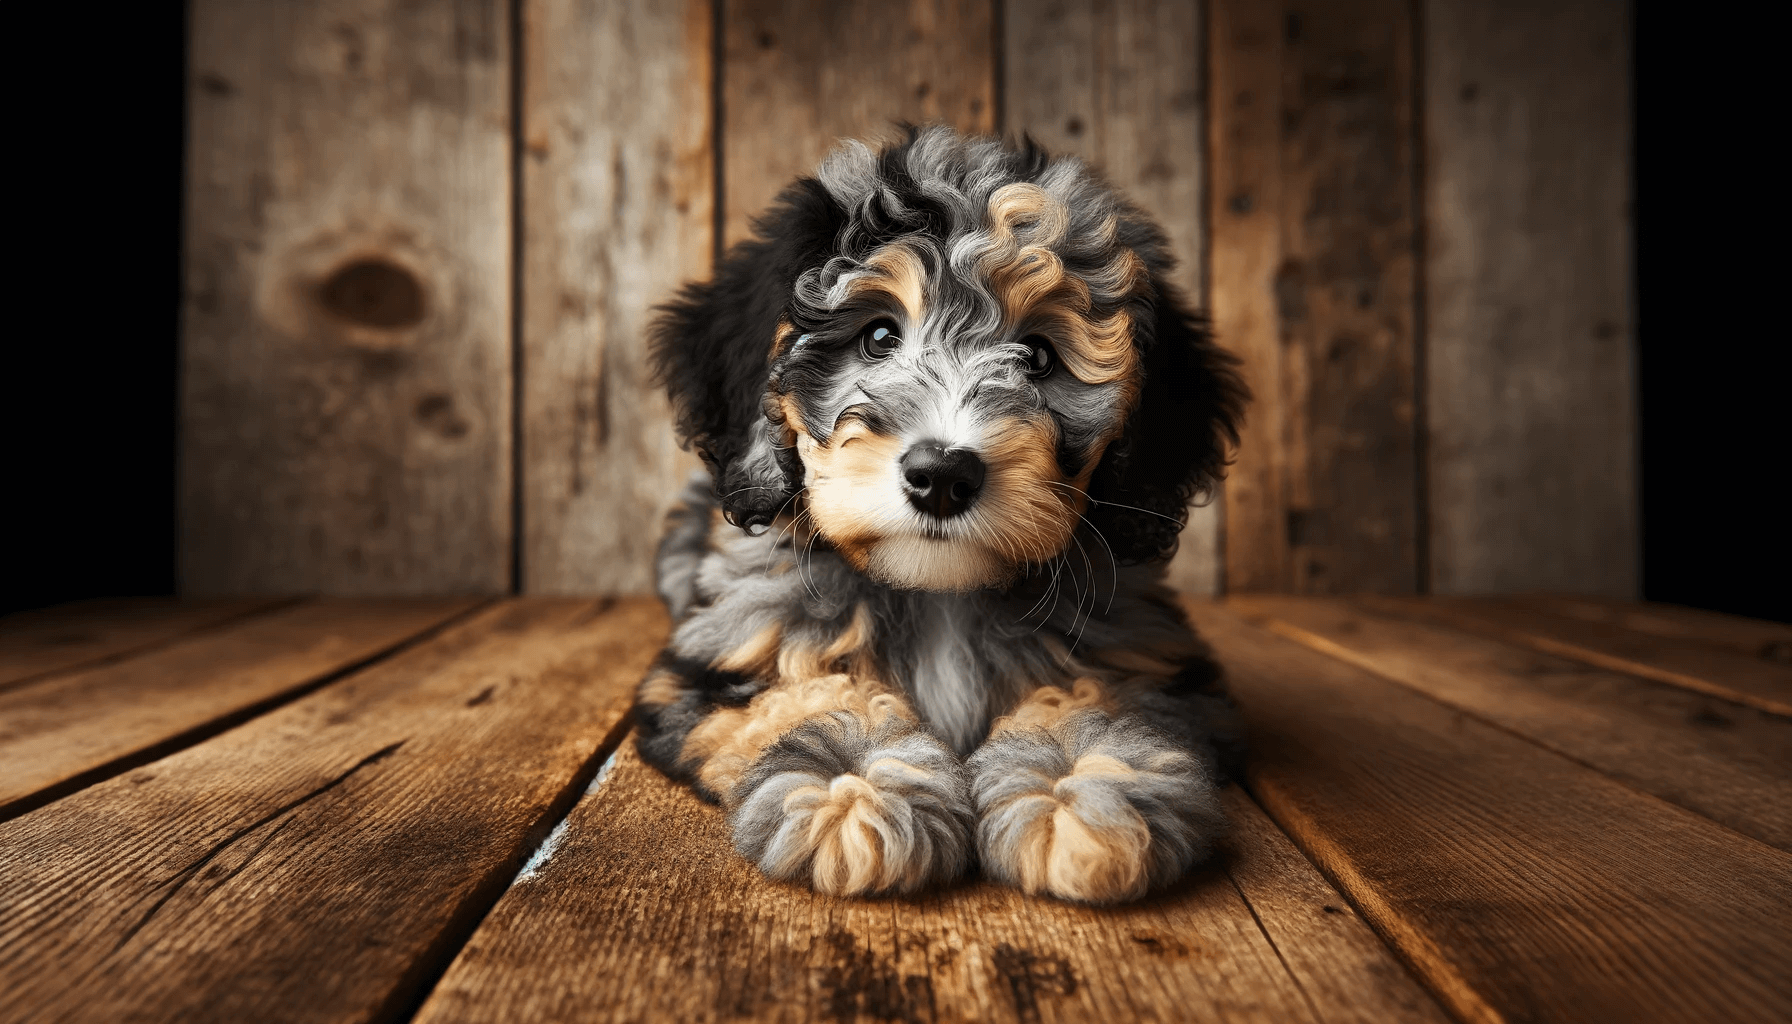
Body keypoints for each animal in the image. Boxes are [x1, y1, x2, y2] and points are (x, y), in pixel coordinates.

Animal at [634, 126, 1247, 903]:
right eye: (877, 337)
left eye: (1038, 356)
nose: (942, 476)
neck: (939, 594)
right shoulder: (729, 647)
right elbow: (801, 693)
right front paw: (854, 781)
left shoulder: (1143, 652)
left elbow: (1099, 694)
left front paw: (1080, 783)